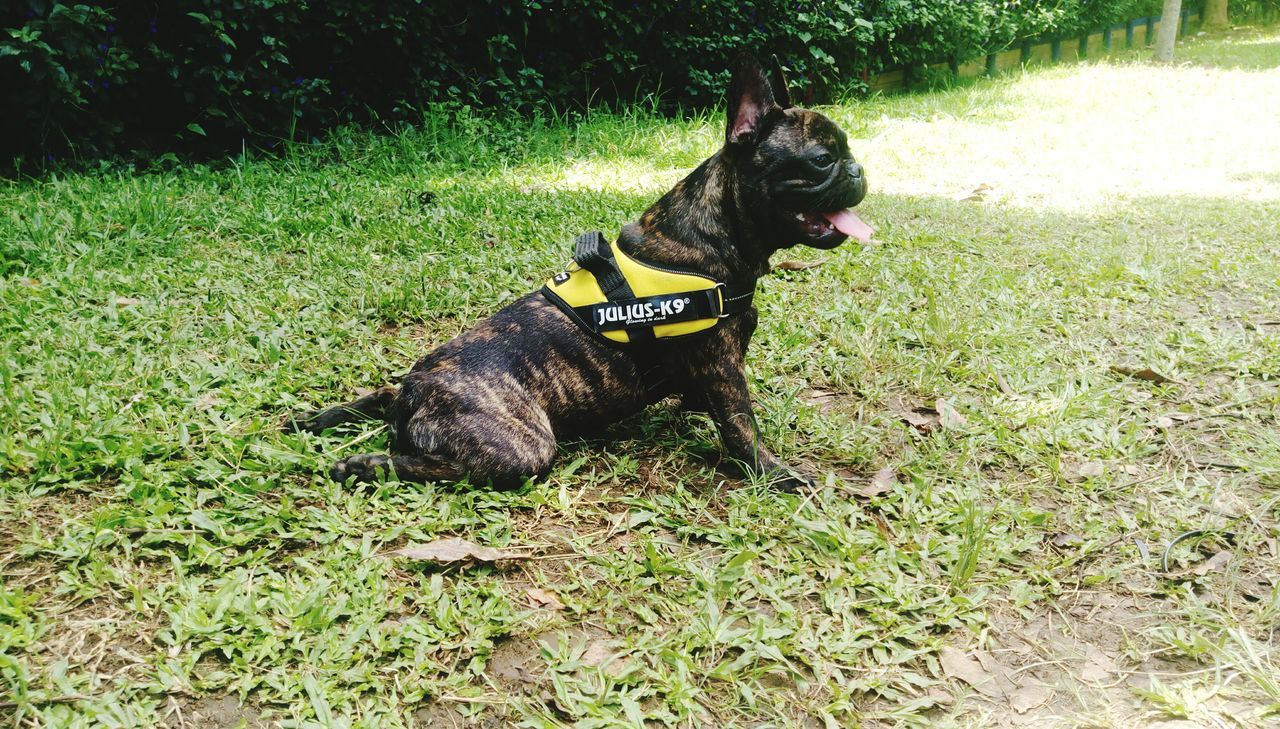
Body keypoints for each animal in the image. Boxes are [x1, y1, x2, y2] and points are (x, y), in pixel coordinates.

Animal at [288, 55, 870, 488]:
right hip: (522, 447)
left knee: (385, 403)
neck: (712, 228)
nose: (859, 169)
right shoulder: (723, 367)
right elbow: (740, 426)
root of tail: (414, 394)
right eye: (822, 160)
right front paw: (773, 472)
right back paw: (364, 464)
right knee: (445, 466)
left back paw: (319, 422)